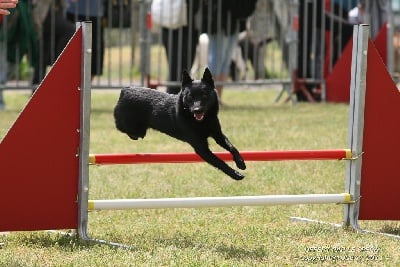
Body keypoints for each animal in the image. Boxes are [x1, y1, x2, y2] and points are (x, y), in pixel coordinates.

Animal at [113, 68, 247, 181]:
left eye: (204, 95)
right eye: (190, 96)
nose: (197, 110)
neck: (201, 122)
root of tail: (125, 89)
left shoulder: (218, 135)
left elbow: (232, 147)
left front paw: (240, 162)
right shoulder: (201, 148)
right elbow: (220, 162)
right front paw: (235, 174)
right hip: (134, 128)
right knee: (121, 127)